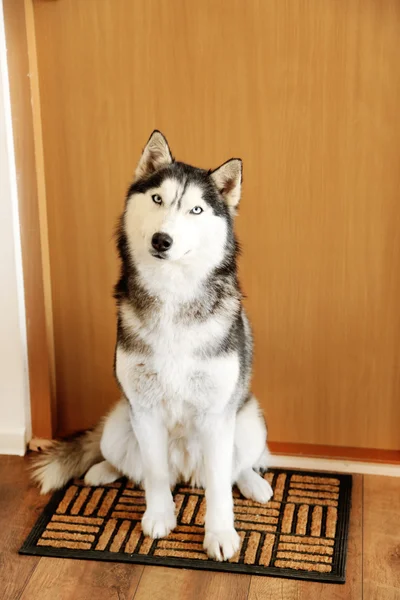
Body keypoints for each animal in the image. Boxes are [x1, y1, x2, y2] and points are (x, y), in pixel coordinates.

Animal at [32, 129, 274, 560]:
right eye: (158, 199)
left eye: (196, 210)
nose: (163, 240)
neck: (173, 295)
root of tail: (187, 472)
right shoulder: (143, 410)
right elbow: (155, 472)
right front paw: (159, 517)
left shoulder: (218, 416)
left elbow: (219, 487)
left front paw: (220, 534)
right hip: (117, 424)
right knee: (130, 466)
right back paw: (101, 470)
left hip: (249, 421)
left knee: (235, 467)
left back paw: (254, 483)